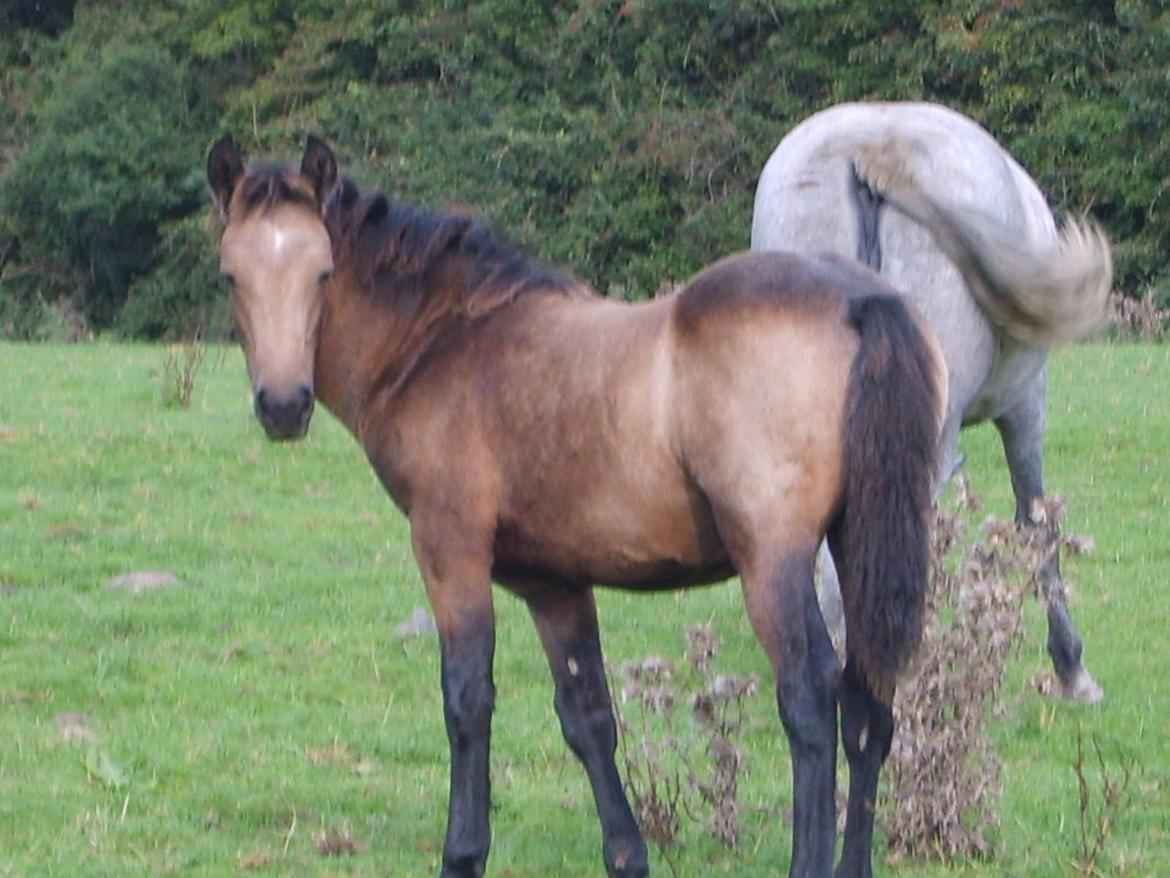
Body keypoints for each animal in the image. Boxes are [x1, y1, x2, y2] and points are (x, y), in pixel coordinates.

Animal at [205, 137, 945, 878]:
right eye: (231, 276)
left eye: (323, 272)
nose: (283, 405)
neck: (440, 342)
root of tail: (863, 299)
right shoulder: (553, 583)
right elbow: (588, 716)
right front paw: (626, 856)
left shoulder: (450, 549)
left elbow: (467, 700)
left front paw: (462, 853)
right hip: (859, 543)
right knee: (869, 703)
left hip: (773, 557)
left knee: (811, 700)